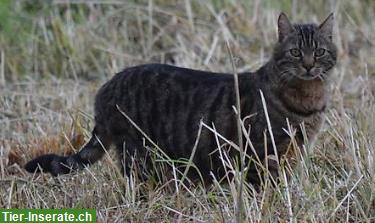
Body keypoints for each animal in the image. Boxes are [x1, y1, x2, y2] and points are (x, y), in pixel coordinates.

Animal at [25, 13, 340, 186]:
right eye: (296, 52)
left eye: (319, 52)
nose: (309, 66)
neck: (308, 99)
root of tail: (107, 87)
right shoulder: (261, 151)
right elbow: (265, 188)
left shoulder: (292, 153)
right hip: (139, 153)